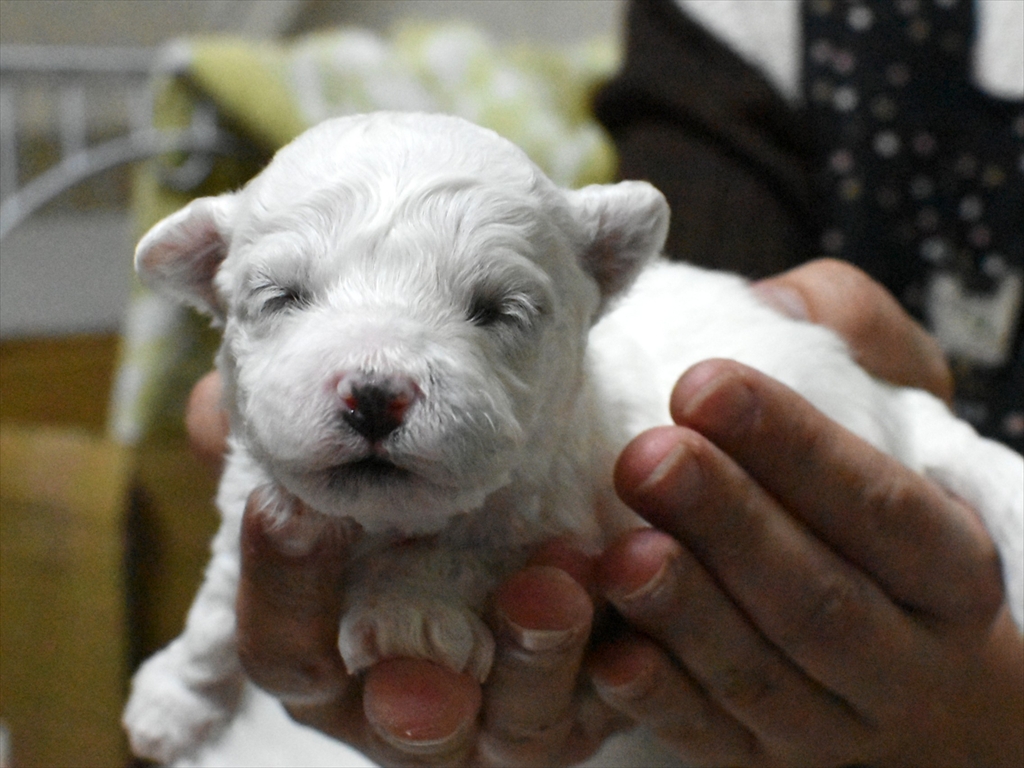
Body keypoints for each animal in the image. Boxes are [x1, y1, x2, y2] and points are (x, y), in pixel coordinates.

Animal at [123, 112, 1023, 764]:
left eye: (496, 311)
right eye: (282, 298)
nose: (376, 395)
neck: (382, 522)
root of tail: (896, 403)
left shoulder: (556, 514)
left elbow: (469, 550)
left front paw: (409, 610)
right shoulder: (256, 498)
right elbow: (219, 607)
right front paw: (173, 699)